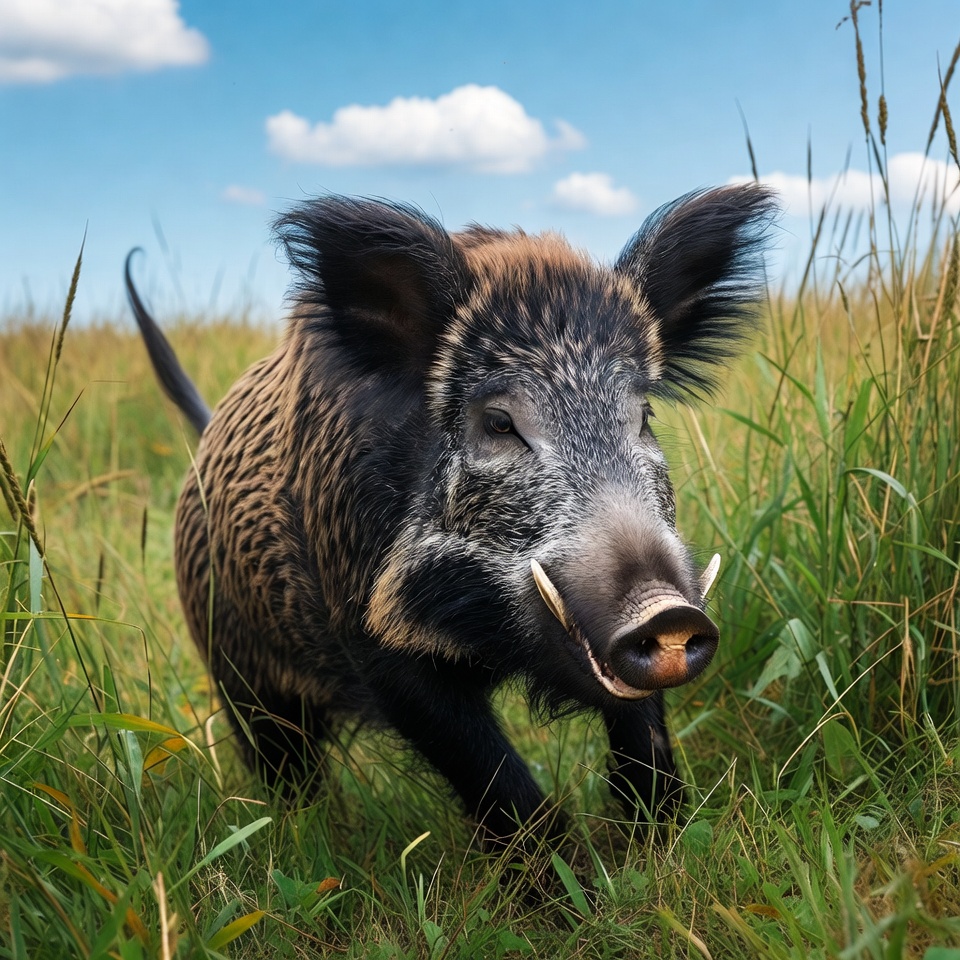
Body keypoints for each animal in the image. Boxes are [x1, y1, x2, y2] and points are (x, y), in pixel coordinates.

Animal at [126, 184, 776, 848]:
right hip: (238, 678)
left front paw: (662, 839)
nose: (667, 612)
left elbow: (642, 736)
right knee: (285, 765)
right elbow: (486, 769)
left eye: (643, 415)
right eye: (499, 422)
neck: (488, 643)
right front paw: (565, 874)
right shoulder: (372, 644)